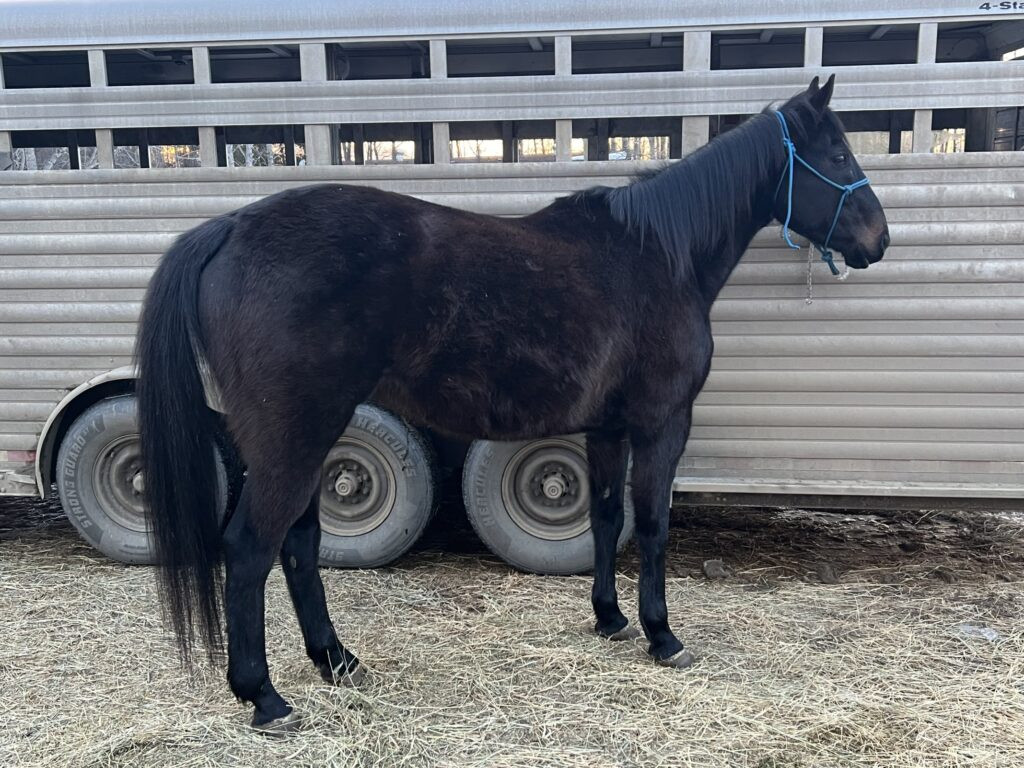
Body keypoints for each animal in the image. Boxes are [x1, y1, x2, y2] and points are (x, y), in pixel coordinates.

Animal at [136, 76, 889, 732]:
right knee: (249, 549)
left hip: (304, 440)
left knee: (298, 546)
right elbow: (651, 526)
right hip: (293, 438)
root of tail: (231, 227)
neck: (658, 256)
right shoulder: (661, 423)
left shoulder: (607, 428)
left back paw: (338, 661)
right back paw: (265, 697)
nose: (878, 239)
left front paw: (610, 619)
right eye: (838, 153)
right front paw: (662, 634)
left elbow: (605, 516)